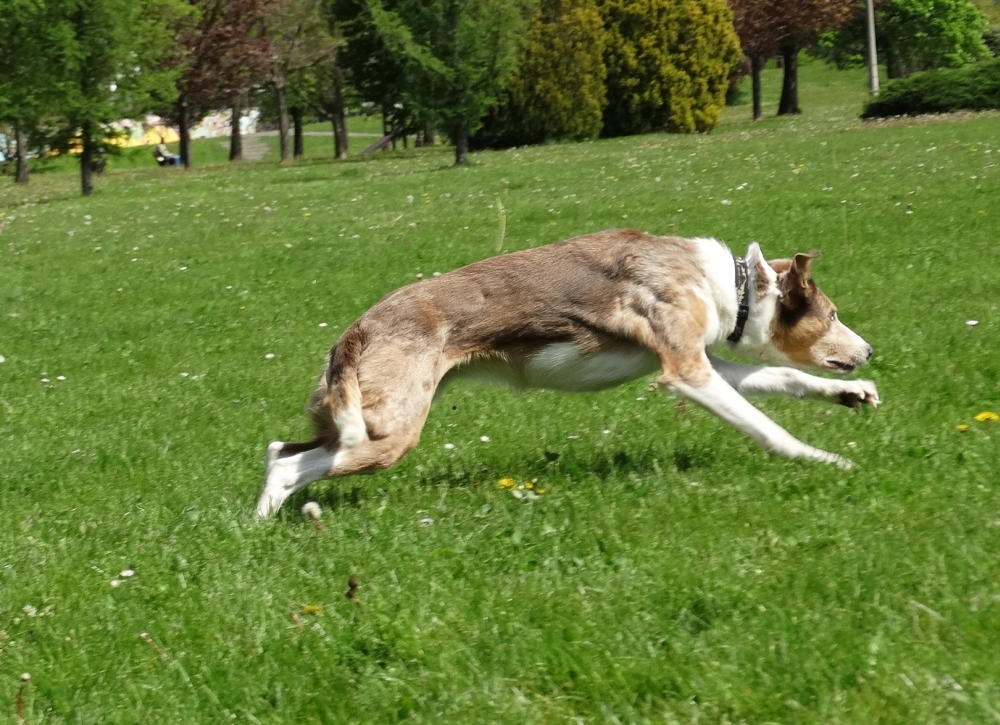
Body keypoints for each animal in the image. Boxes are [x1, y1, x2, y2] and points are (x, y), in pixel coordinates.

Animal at [256, 229, 876, 516]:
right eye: (833, 316)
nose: (869, 352)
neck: (731, 283)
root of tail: (357, 328)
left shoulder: (705, 361)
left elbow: (785, 382)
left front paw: (852, 394)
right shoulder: (684, 371)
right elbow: (768, 428)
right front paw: (828, 461)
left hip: (354, 420)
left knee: (278, 450)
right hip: (390, 433)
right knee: (291, 465)